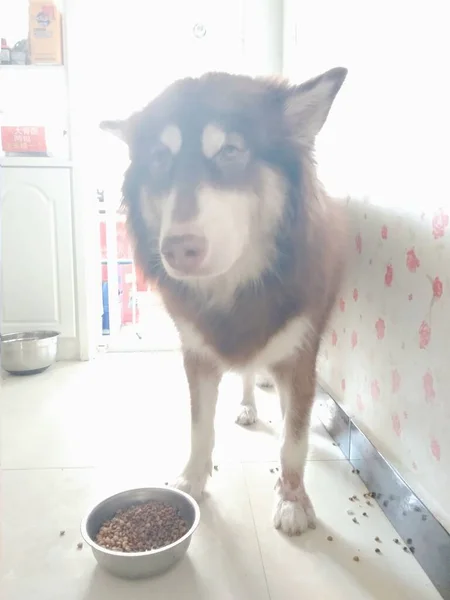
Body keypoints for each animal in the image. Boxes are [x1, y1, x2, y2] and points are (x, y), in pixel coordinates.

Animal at [101, 68, 348, 536]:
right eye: (160, 158)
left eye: (231, 151)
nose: (178, 250)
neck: (236, 288)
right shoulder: (196, 354)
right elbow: (200, 427)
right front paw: (191, 480)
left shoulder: (300, 353)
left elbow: (293, 439)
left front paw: (292, 500)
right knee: (247, 375)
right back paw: (249, 404)